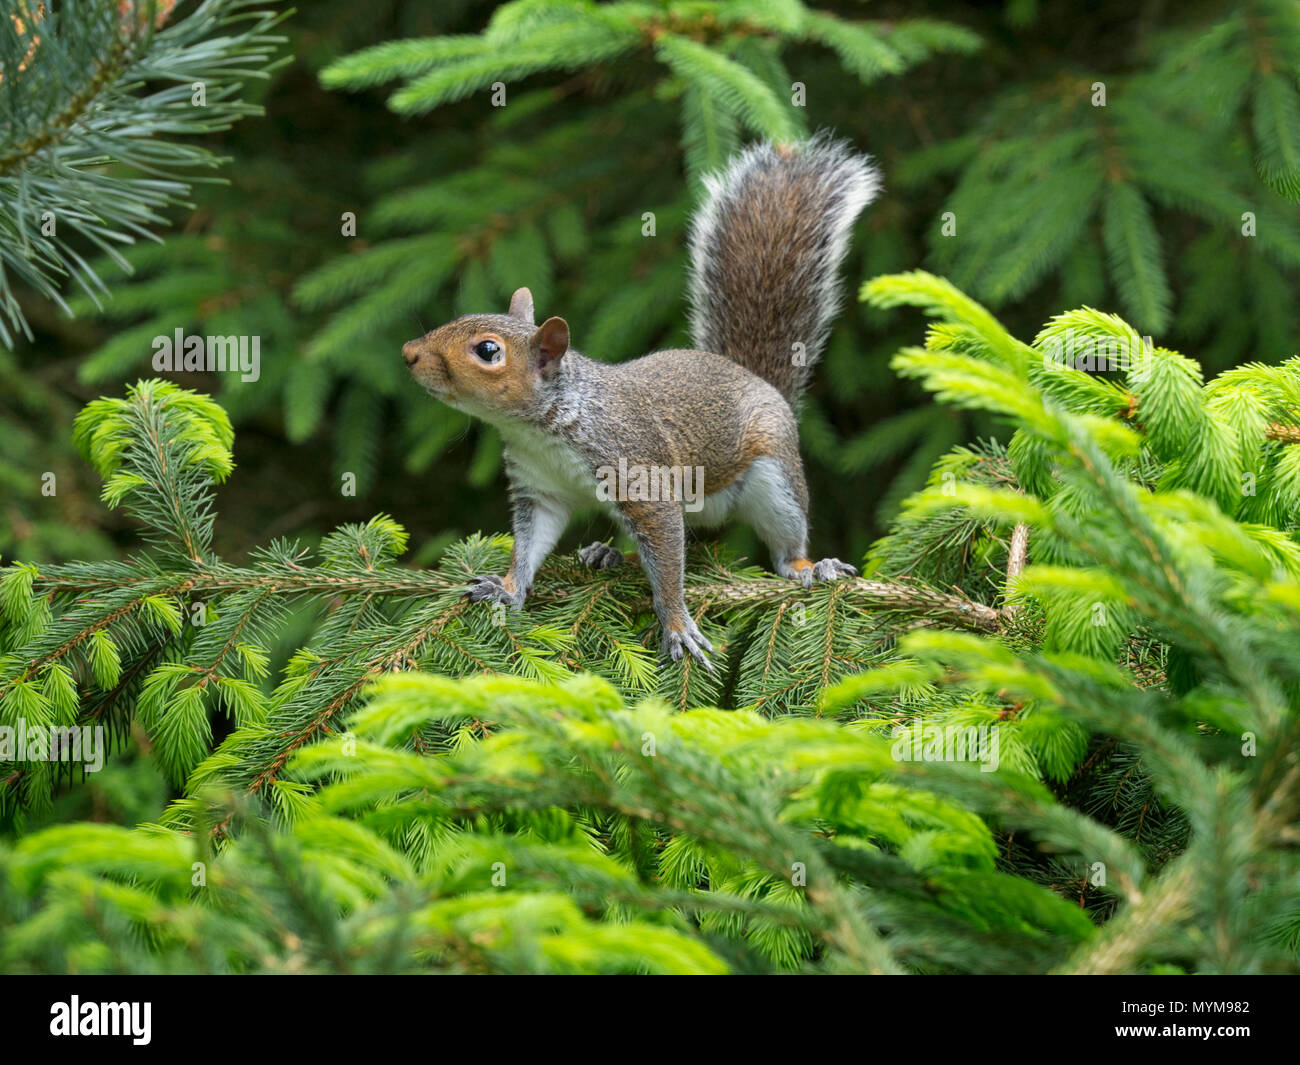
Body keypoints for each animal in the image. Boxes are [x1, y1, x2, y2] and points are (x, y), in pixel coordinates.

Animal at [402, 134, 880, 669]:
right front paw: (507, 589)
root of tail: (755, 379)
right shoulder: (540, 490)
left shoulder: (639, 475)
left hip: (774, 473)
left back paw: (809, 567)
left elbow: (669, 568)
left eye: (487, 351)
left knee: (781, 542)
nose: (408, 353)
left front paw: (677, 627)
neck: (544, 426)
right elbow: (530, 545)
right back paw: (610, 555)